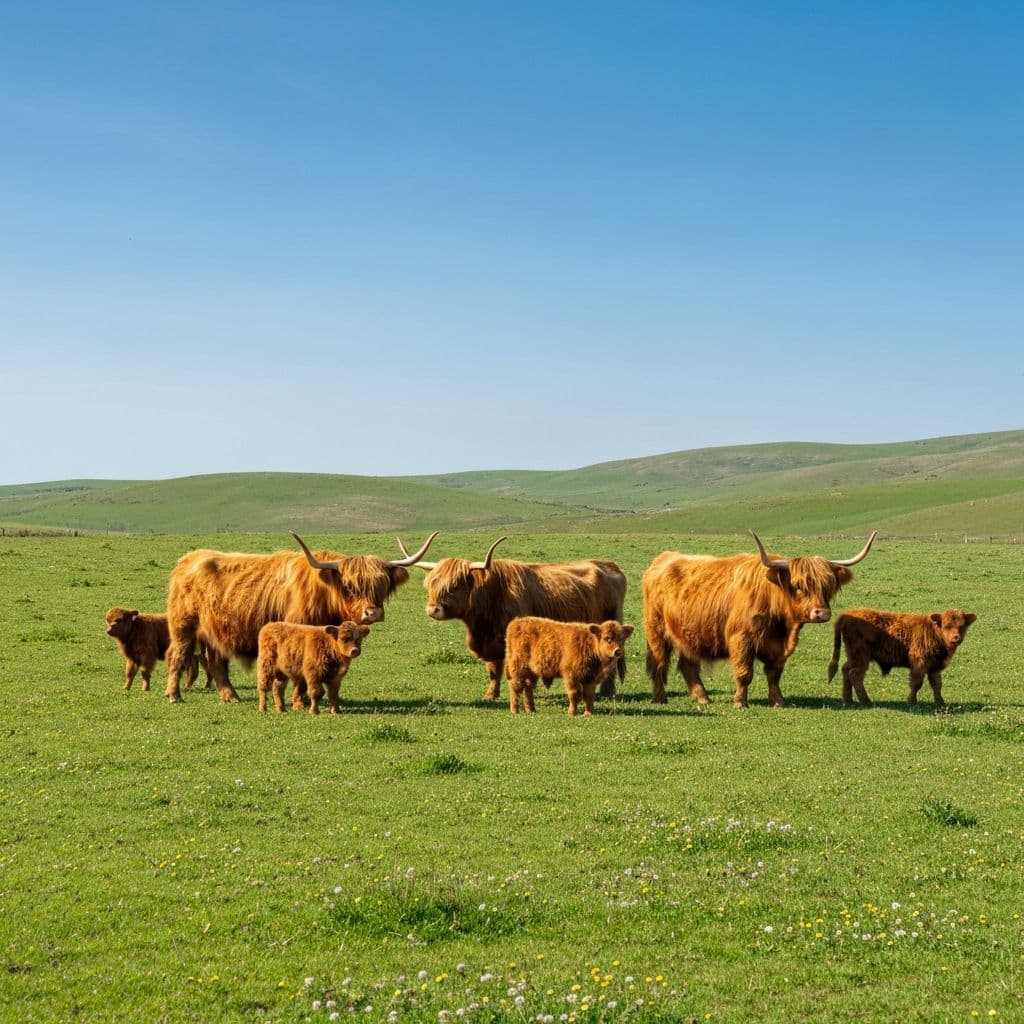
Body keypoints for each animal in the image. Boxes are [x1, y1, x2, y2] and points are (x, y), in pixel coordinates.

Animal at [163, 530, 437, 703]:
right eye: (350, 586)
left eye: (381, 585)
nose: (373, 612)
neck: (326, 596)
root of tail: (188, 559)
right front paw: (302, 699)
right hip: (183, 626)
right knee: (178, 655)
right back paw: (174, 695)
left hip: (215, 632)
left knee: (216, 662)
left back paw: (230, 696)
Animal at [398, 535, 628, 700]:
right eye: (431, 584)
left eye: (454, 586)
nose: (432, 609)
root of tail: (609, 565)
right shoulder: (491, 644)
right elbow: (494, 670)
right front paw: (491, 694)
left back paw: (607, 691)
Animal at [505, 616, 635, 716]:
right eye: (607, 639)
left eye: (622, 639)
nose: (617, 651)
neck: (590, 645)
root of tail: (517, 622)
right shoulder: (571, 675)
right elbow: (575, 694)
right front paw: (572, 713)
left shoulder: (590, 678)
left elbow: (588, 695)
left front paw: (588, 713)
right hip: (518, 667)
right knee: (515, 686)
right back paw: (515, 711)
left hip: (531, 672)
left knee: (528, 687)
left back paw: (531, 710)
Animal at [642, 531, 877, 708]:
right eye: (799, 586)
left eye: (827, 586)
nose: (822, 613)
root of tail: (663, 559)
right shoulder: (741, 638)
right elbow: (745, 672)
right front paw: (739, 702)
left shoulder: (780, 647)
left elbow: (774, 674)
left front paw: (778, 702)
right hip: (656, 630)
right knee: (659, 662)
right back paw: (660, 698)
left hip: (689, 634)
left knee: (687, 665)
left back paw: (702, 698)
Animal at [827, 607, 977, 708]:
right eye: (947, 625)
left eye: (962, 626)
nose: (956, 637)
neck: (933, 631)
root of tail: (849, 613)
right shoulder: (919, 664)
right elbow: (916, 683)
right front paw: (912, 702)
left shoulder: (935, 667)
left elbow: (937, 685)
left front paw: (941, 703)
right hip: (861, 657)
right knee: (855, 674)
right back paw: (866, 701)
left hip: (853, 657)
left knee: (846, 670)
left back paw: (848, 701)